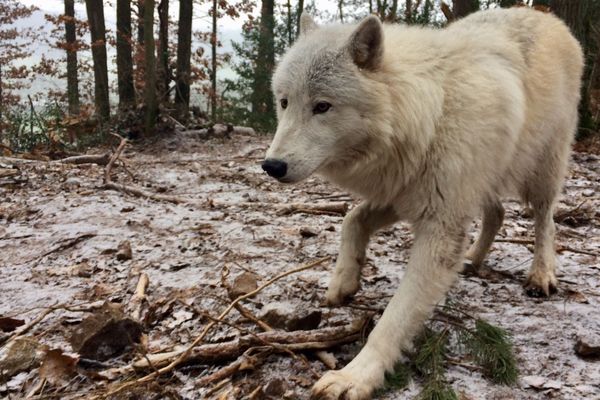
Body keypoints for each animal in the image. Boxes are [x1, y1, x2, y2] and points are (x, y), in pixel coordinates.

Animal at [262, 7, 580, 400]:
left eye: (322, 106)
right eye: (284, 102)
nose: (272, 166)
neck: (427, 116)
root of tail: (546, 16)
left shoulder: (439, 226)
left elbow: (394, 318)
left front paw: (355, 376)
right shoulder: (400, 192)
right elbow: (352, 220)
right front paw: (343, 281)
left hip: (541, 172)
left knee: (545, 221)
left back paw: (541, 274)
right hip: (482, 182)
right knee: (497, 213)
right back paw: (473, 259)